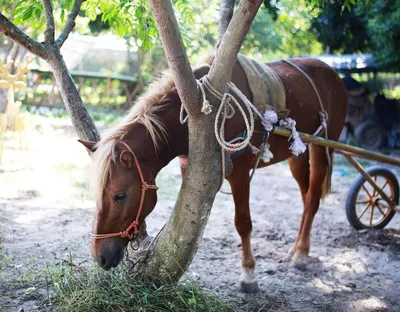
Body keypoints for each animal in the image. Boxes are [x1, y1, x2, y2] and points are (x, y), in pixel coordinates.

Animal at [79, 56, 346, 292]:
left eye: (119, 196)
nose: (100, 256)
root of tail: (332, 73)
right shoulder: (189, 169)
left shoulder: (240, 174)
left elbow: (243, 223)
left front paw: (249, 274)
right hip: (297, 154)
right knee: (306, 196)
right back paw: (298, 247)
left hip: (323, 147)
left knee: (312, 198)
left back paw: (301, 253)